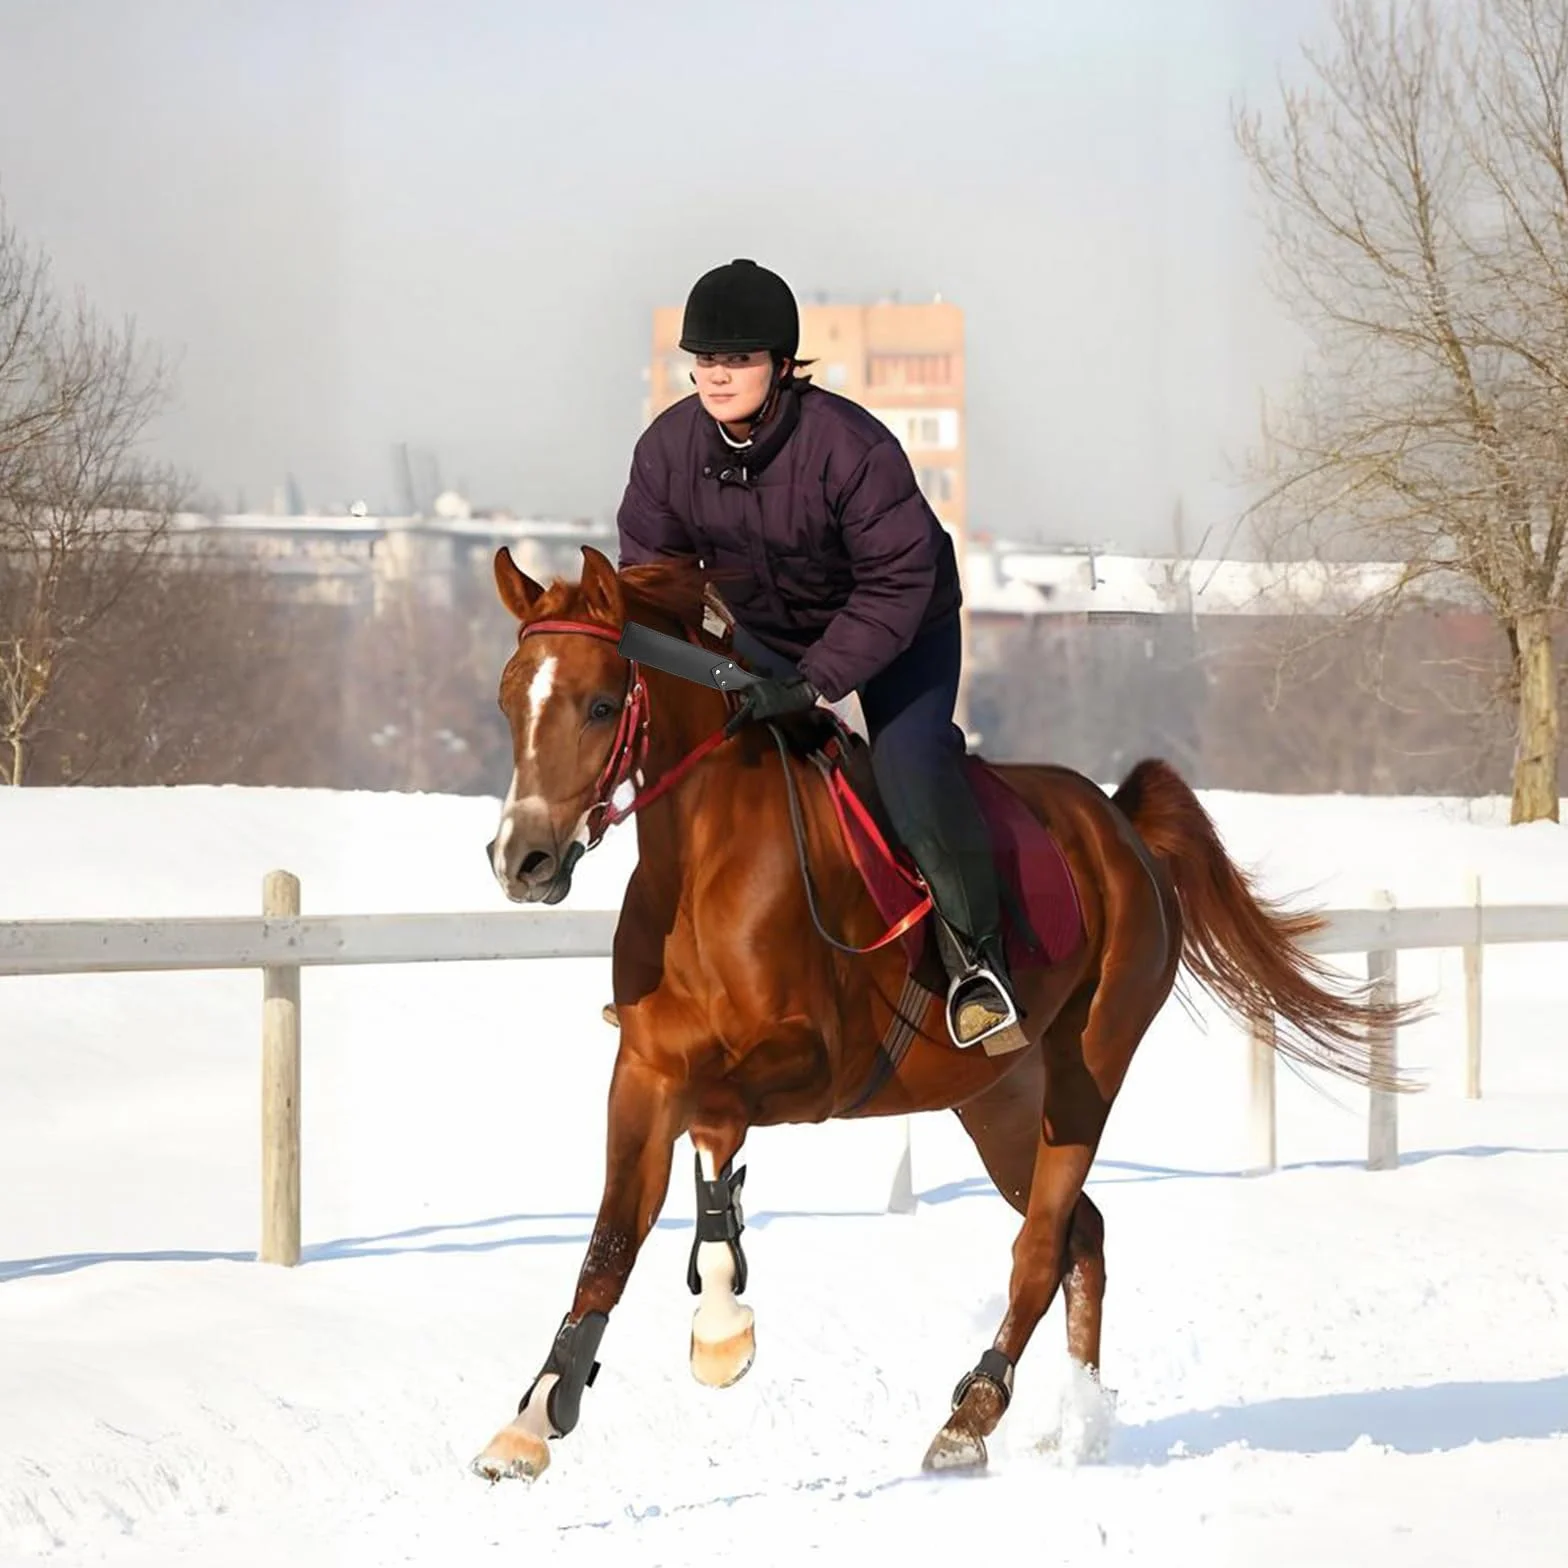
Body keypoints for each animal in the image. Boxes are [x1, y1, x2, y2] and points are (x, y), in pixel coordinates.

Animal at [472, 543, 1413, 1483]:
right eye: (510, 698)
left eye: (600, 703)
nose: (522, 860)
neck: (706, 868)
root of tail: (1120, 824)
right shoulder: (645, 1070)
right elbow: (610, 1241)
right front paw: (533, 1416)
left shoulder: (815, 1067)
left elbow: (717, 1124)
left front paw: (720, 1324)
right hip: (999, 1099)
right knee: (1083, 1232)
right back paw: (1076, 1415)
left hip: (1089, 1063)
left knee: (1043, 1241)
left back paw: (974, 1414)